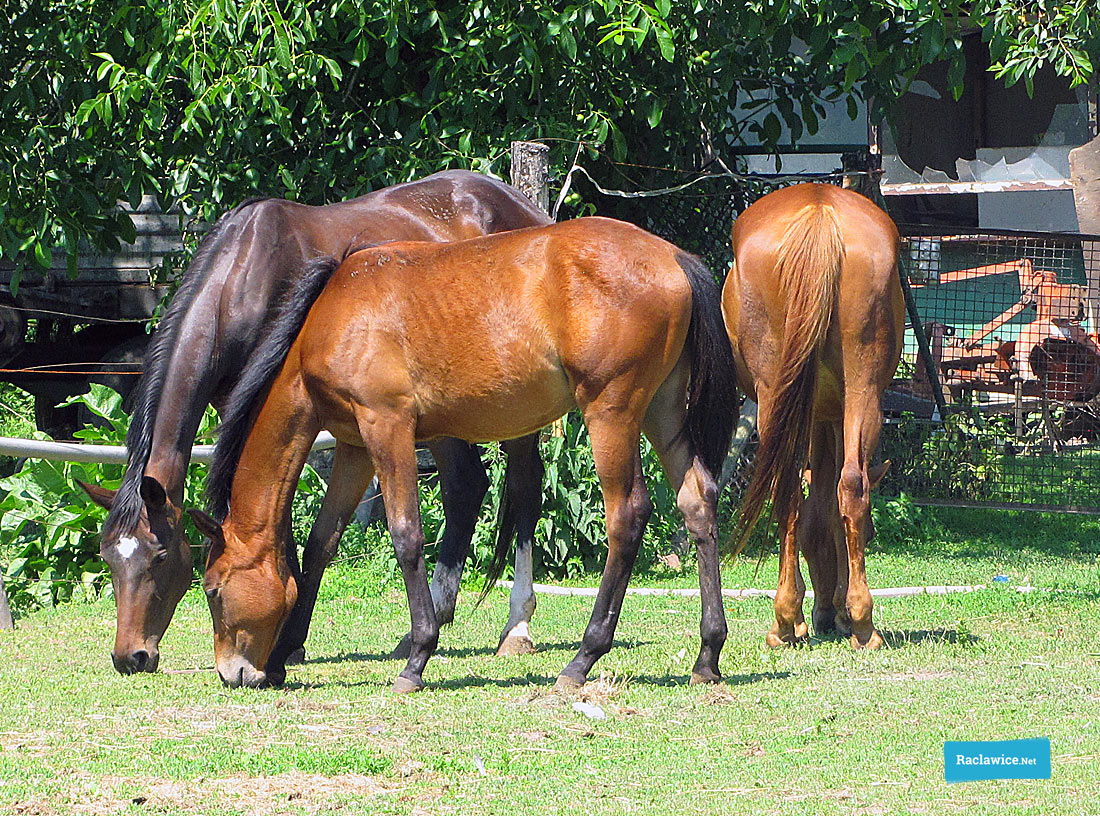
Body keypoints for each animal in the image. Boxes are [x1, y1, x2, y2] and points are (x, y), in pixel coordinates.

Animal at [75, 169, 550, 681]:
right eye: (108, 558)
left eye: (160, 557)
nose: (130, 657)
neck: (243, 277)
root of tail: (525, 208)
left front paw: (286, 635)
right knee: (466, 486)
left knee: (523, 488)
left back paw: (516, 628)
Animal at [189, 217, 739, 690]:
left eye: (212, 589)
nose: (232, 672)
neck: (334, 314)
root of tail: (671, 255)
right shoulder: (354, 445)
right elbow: (322, 540)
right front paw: (286, 653)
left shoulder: (387, 427)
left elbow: (407, 536)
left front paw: (417, 658)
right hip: (662, 411)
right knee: (697, 501)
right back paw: (707, 654)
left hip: (612, 413)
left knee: (627, 516)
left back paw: (584, 657)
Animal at [721, 183, 902, 651]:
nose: (825, 615)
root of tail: (819, 210)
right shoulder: (828, 417)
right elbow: (828, 505)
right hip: (860, 392)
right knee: (848, 487)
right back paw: (860, 625)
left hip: (777, 398)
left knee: (793, 491)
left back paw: (787, 621)